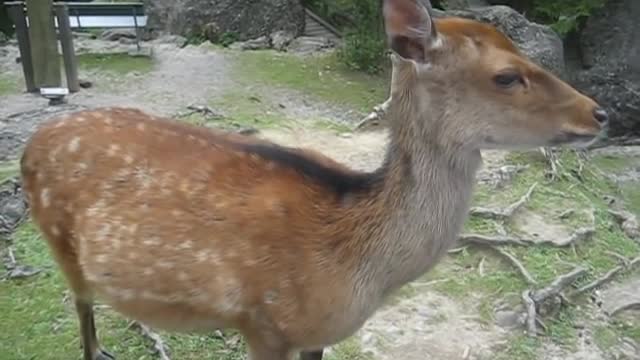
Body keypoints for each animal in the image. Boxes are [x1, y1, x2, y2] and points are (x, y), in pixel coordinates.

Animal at [20, 0, 608, 358]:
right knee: (81, 306)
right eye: (506, 76)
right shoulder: (263, 323)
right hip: (58, 239)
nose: (599, 114)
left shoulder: (317, 334)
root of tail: (34, 140)